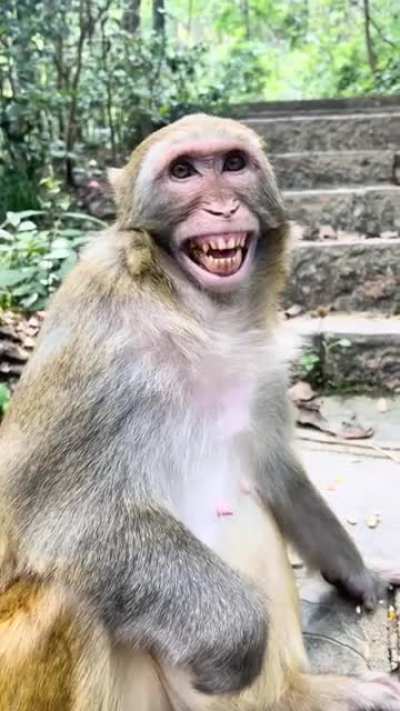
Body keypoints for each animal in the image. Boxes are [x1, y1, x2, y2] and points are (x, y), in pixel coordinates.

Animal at [0, 113, 399, 711]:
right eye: (184, 172)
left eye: (233, 164)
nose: (221, 208)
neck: (197, 315)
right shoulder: (99, 334)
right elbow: (59, 517)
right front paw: (237, 641)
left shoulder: (261, 366)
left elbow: (276, 473)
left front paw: (359, 575)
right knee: (69, 590)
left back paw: (306, 695)